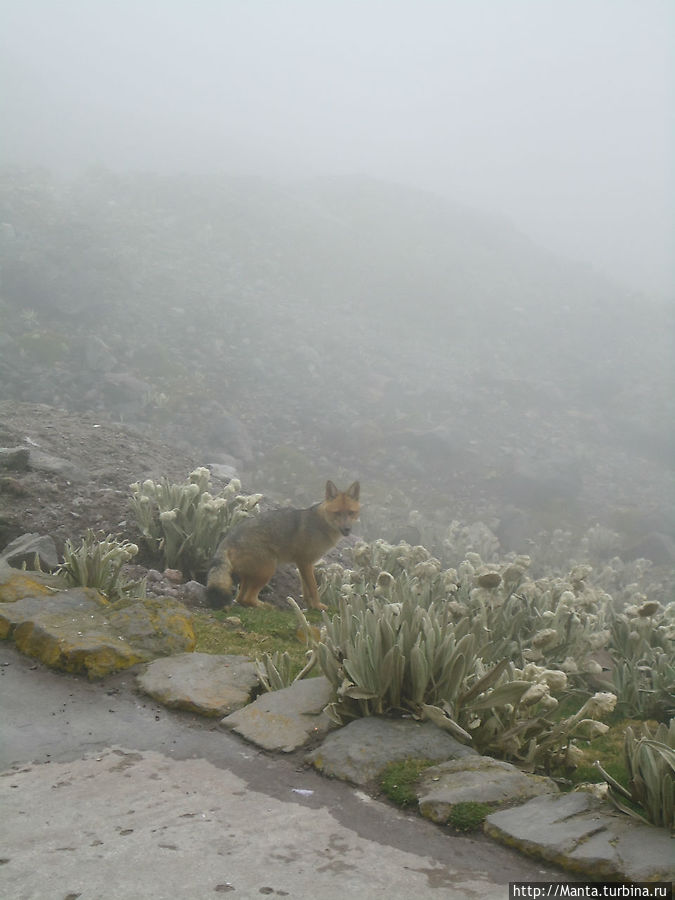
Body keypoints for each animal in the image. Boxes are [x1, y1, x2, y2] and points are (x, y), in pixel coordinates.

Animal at [206, 480, 360, 610]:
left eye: (351, 513)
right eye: (337, 513)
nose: (347, 529)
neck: (321, 525)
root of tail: (227, 539)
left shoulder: (304, 564)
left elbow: (306, 589)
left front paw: (310, 606)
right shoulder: (305, 562)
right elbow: (313, 589)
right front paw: (317, 605)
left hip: (251, 576)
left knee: (240, 599)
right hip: (267, 570)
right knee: (247, 599)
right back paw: (267, 606)